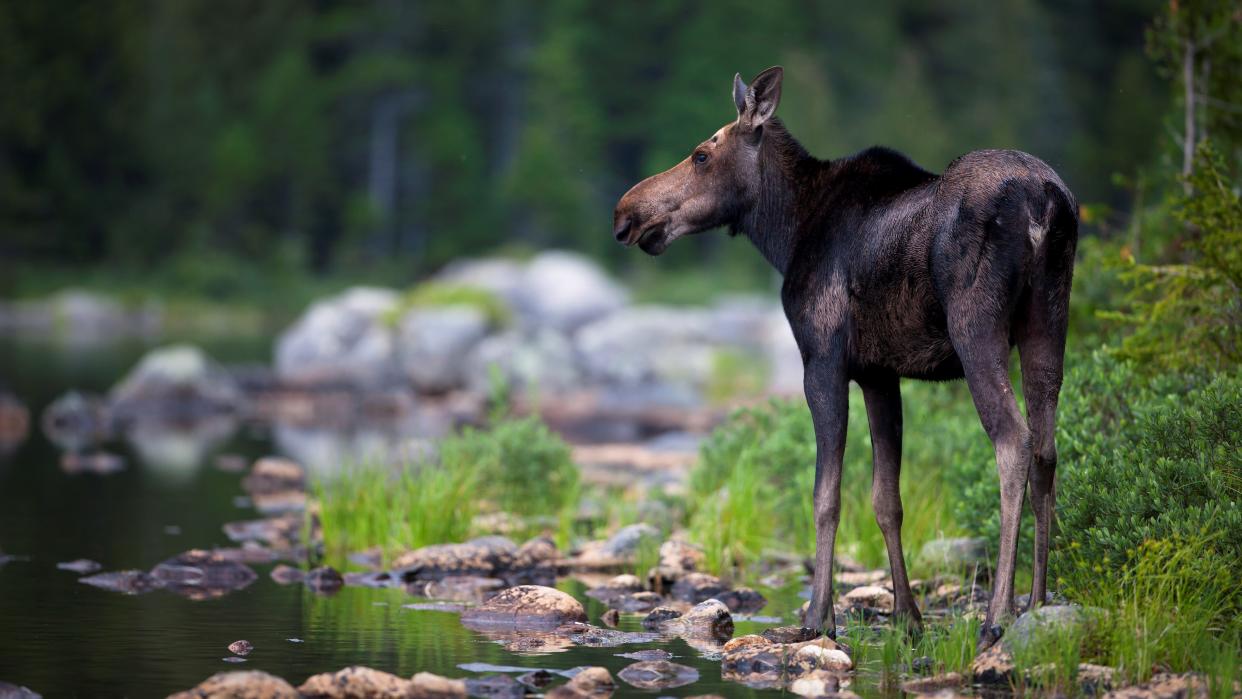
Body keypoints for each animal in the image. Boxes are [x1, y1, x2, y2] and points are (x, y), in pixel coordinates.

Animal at [611, 68, 1078, 650]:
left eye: (700, 154)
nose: (625, 213)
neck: (783, 233)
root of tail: (1044, 202)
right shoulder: (880, 374)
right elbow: (886, 499)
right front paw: (907, 617)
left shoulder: (823, 360)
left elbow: (825, 495)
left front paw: (818, 617)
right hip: (1048, 321)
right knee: (1046, 449)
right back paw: (1037, 605)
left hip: (977, 327)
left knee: (1012, 440)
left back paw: (997, 616)